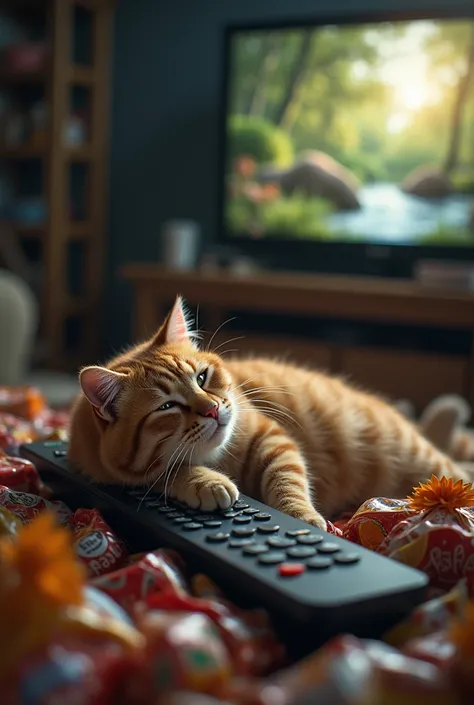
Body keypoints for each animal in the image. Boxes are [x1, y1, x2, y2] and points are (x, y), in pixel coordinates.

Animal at [68, 294, 472, 532]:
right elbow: (164, 473)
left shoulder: (271, 437)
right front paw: (205, 481)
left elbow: (286, 481)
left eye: (202, 377)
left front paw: (302, 517)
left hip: (422, 460)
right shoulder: (113, 476)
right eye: (167, 406)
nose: (212, 409)